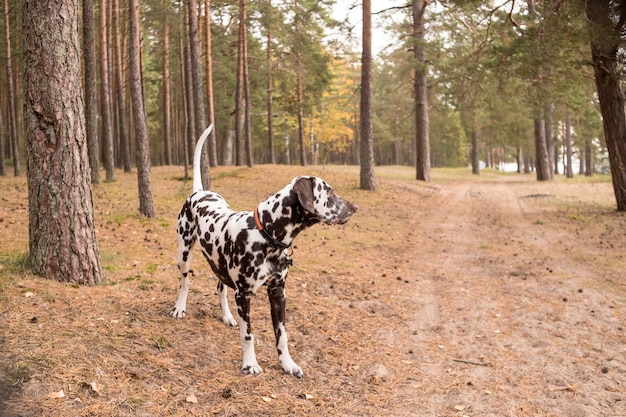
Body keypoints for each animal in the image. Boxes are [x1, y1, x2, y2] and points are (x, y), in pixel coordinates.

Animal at [171, 125, 356, 376]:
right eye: (329, 192)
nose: (355, 207)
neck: (266, 235)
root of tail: (199, 192)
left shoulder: (278, 293)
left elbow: (282, 335)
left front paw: (288, 364)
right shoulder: (244, 295)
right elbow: (248, 335)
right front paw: (250, 363)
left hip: (219, 264)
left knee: (220, 288)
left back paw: (227, 316)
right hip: (184, 252)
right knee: (185, 281)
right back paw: (180, 308)